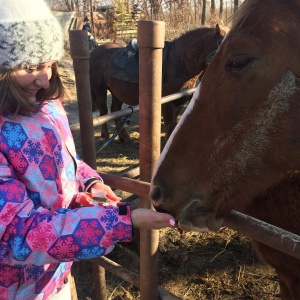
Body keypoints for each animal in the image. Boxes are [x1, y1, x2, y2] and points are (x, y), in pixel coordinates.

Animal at [90, 24, 226, 143]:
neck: (178, 61)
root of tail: (94, 52)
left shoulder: (179, 102)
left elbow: (173, 125)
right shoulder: (167, 104)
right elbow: (170, 125)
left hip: (117, 92)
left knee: (116, 110)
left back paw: (125, 137)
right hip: (100, 90)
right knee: (104, 111)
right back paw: (106, 135)